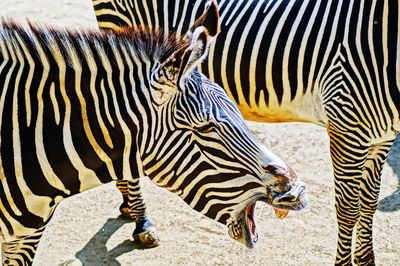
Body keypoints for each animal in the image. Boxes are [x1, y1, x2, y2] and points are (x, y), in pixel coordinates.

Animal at [90, 0, 400, 264]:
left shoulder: (382, 137)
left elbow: (369, 204)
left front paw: (367, 261)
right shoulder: (347, 126)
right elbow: (349, 210)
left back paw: (128, 206)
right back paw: (141, 221)